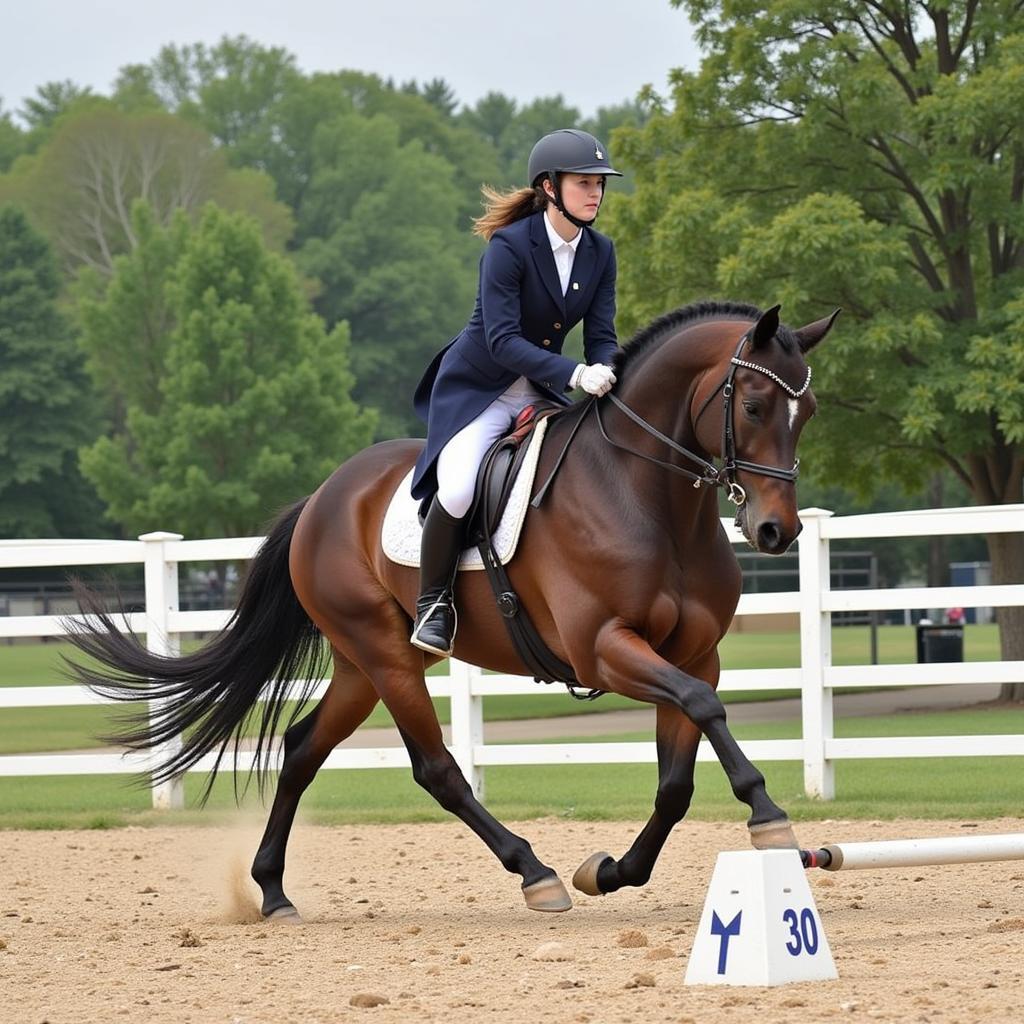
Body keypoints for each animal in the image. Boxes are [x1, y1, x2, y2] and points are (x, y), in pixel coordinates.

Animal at [70, 299, 839, 921]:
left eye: (808, 414)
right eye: (753, 407)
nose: (777, 531)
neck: (648, 494)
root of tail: (323, 496)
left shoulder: (692, 654)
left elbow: (677, 778)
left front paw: (613, 871)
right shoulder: (607, 649)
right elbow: (705, 712)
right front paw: (769, 815)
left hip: (360, 666)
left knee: (303, 748)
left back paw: (274, 891)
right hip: (385, 653)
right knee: (436, 769)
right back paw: (533, 872)